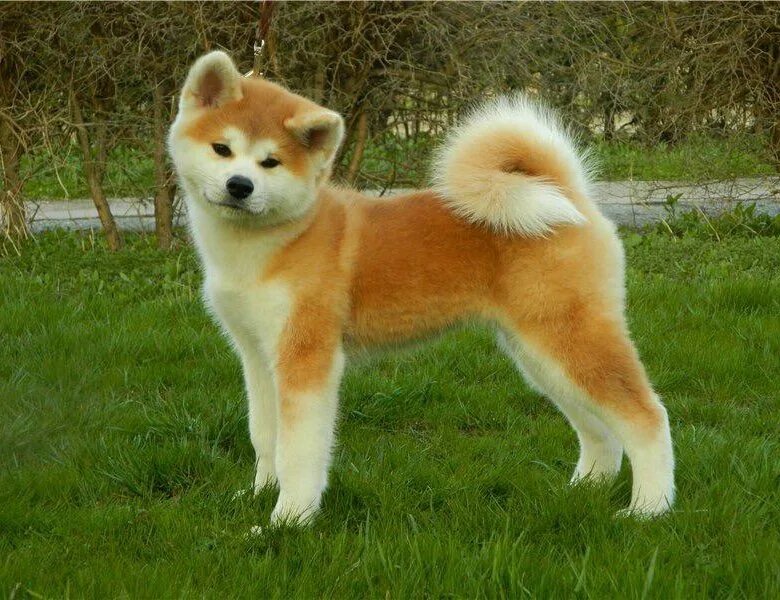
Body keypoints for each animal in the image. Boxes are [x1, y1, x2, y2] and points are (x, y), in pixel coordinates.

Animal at [168, 51, 675, 526]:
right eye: (221, 149)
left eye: (270, 162)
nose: (240, 185)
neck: (278, 240)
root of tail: (570, 197)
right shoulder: (257, 355)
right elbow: (265, 436)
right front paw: (257, 495)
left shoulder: (305, 357)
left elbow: (298, 450)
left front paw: (288, 519)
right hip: (540, 353)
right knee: (598, 428)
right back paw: (584, 489)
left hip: (569, 339)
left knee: (646, 417)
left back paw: (649, 509)